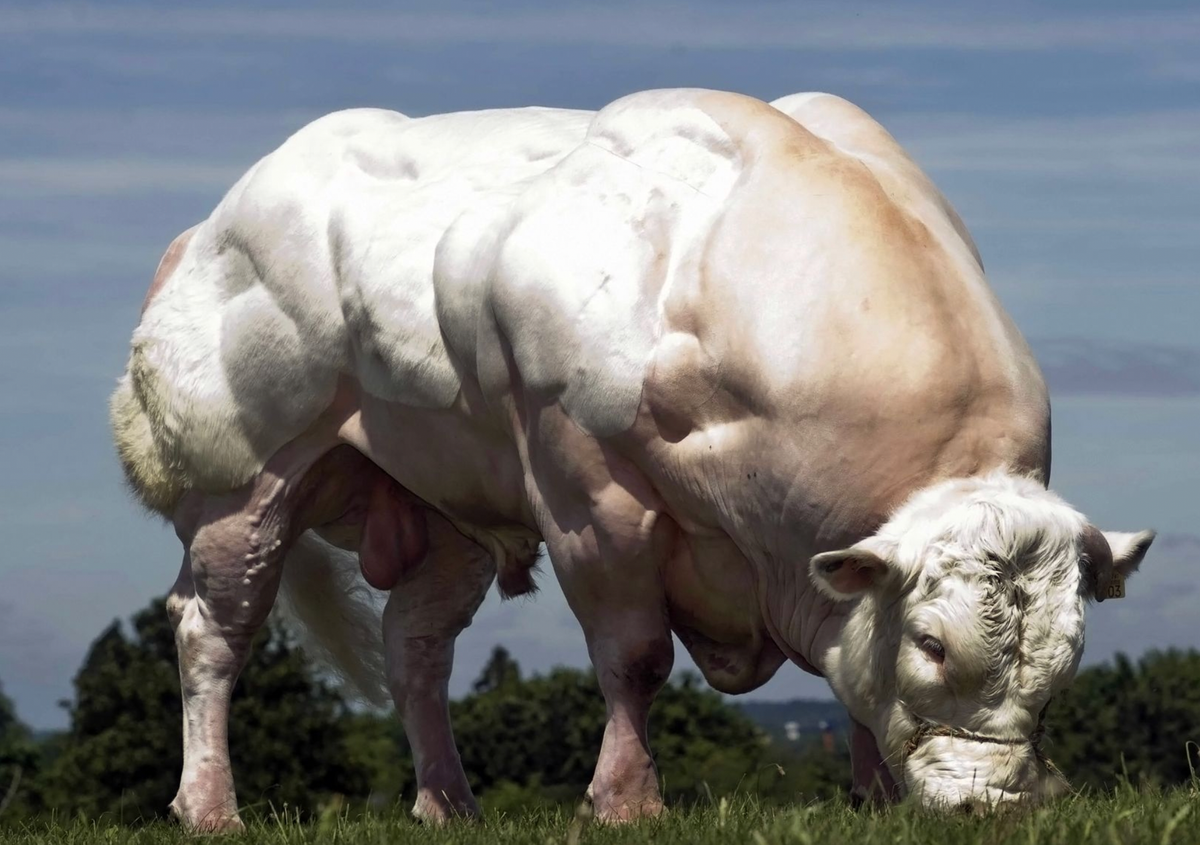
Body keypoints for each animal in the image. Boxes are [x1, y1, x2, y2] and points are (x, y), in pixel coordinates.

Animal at [109, 88, 1154, 830]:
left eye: (1068, 659)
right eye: (934, 643)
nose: (992, 803)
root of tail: (208, 229)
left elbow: (854, 676)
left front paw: (877, 799)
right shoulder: (586, 486)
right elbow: (636, 654)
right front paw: (625, 799)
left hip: (447, 510)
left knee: (416, 648)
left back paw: (448, 804)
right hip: (240, 482)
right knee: (213, 631)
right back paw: (211, 807)